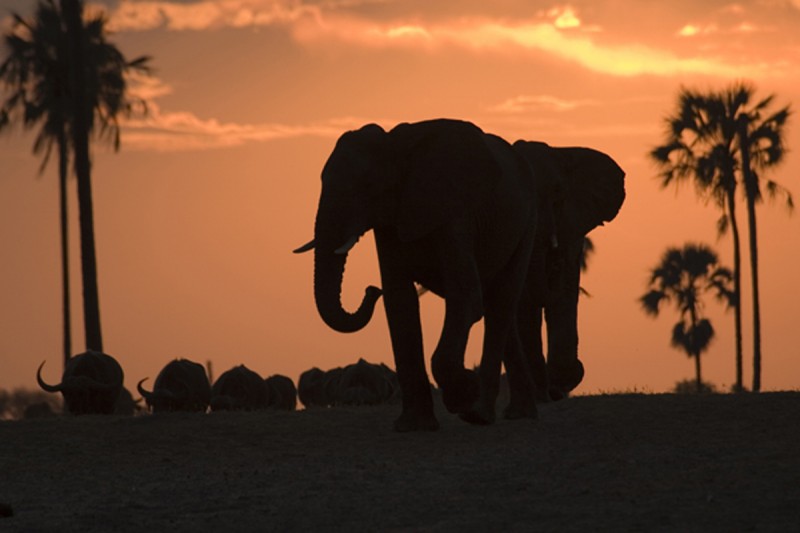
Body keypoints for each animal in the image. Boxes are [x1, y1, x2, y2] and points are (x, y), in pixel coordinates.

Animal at [295, 119, 540, 431]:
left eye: (368, 186)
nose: (370, 289)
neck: (397, 147)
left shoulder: (455, 211)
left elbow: (465, 295)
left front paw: (464, 393)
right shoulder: (390, 220)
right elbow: (399, 300)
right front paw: (414, 426)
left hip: (527, 223)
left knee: (500, 305)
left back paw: (480, 414)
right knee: (498, 309)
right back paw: (519, 412)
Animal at [512, 141, 626, 401]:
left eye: (558, 195)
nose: (580, 368)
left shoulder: (571, 224)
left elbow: (563, 289)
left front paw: (560, 384)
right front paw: (545, 391)